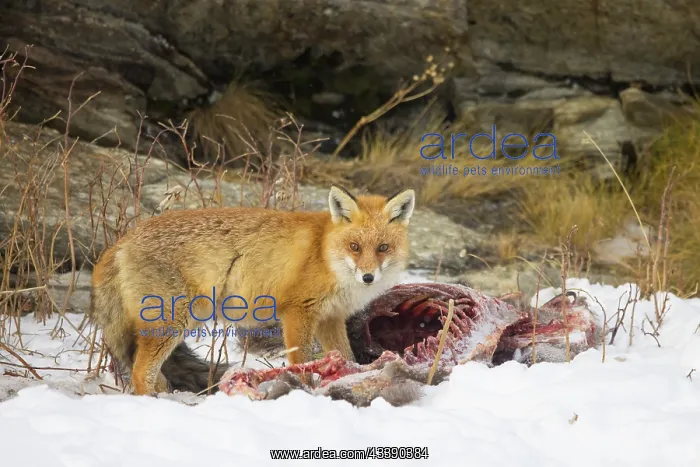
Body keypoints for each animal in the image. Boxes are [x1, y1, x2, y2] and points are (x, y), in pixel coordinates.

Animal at [89, 185, 416, 396]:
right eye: (355, 247)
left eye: (382, 248)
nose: (368, 277)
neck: (324, 253)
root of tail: (121, 241)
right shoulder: (298, 311)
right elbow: (301, 361)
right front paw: (304, 389)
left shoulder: (330, 318)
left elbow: (345, 357)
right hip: (171, 322)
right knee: (140, 373)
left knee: (150, 372)